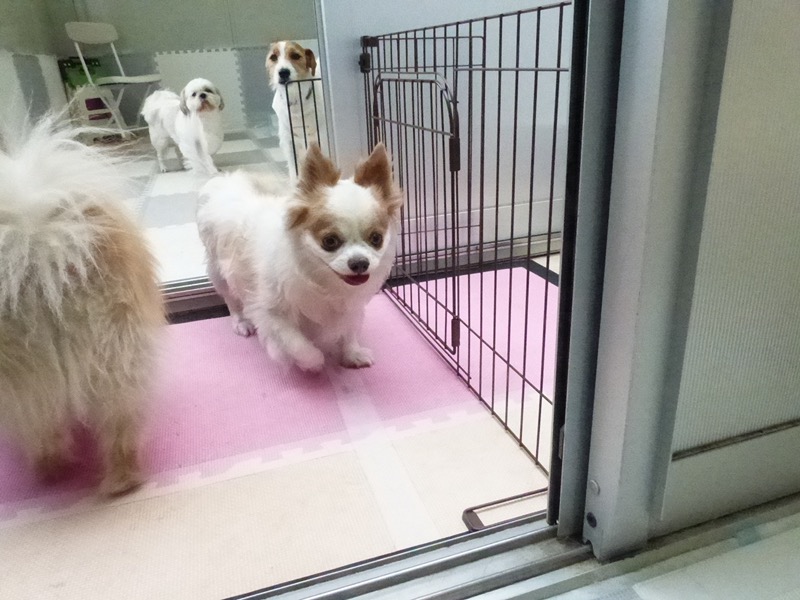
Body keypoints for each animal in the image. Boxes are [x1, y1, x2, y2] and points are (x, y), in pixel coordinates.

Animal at [197, 143, 402, 371]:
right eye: (330, 241)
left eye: (376, 238)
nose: (359, 263)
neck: (324, 282)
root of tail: (221, 180)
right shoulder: (271, 313)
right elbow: (297, 344)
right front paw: (312, 362)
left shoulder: (351, 308)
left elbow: (348, 330)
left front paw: (352, 354)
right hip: (219, 271)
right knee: (231, 300)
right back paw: (241, 322)